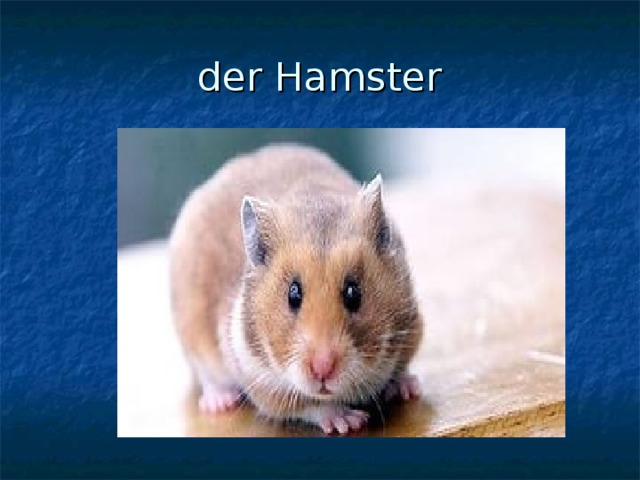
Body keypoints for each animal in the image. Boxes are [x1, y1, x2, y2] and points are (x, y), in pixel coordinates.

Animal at [169, 144, 424, 435]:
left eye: (353, 293)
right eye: (293, 295)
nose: (323, 370)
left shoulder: (412, 329)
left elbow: (400, 369)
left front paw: (409, 389)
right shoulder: (260, 380)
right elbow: (309, 405)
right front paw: (349, 422)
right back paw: (220, 402)